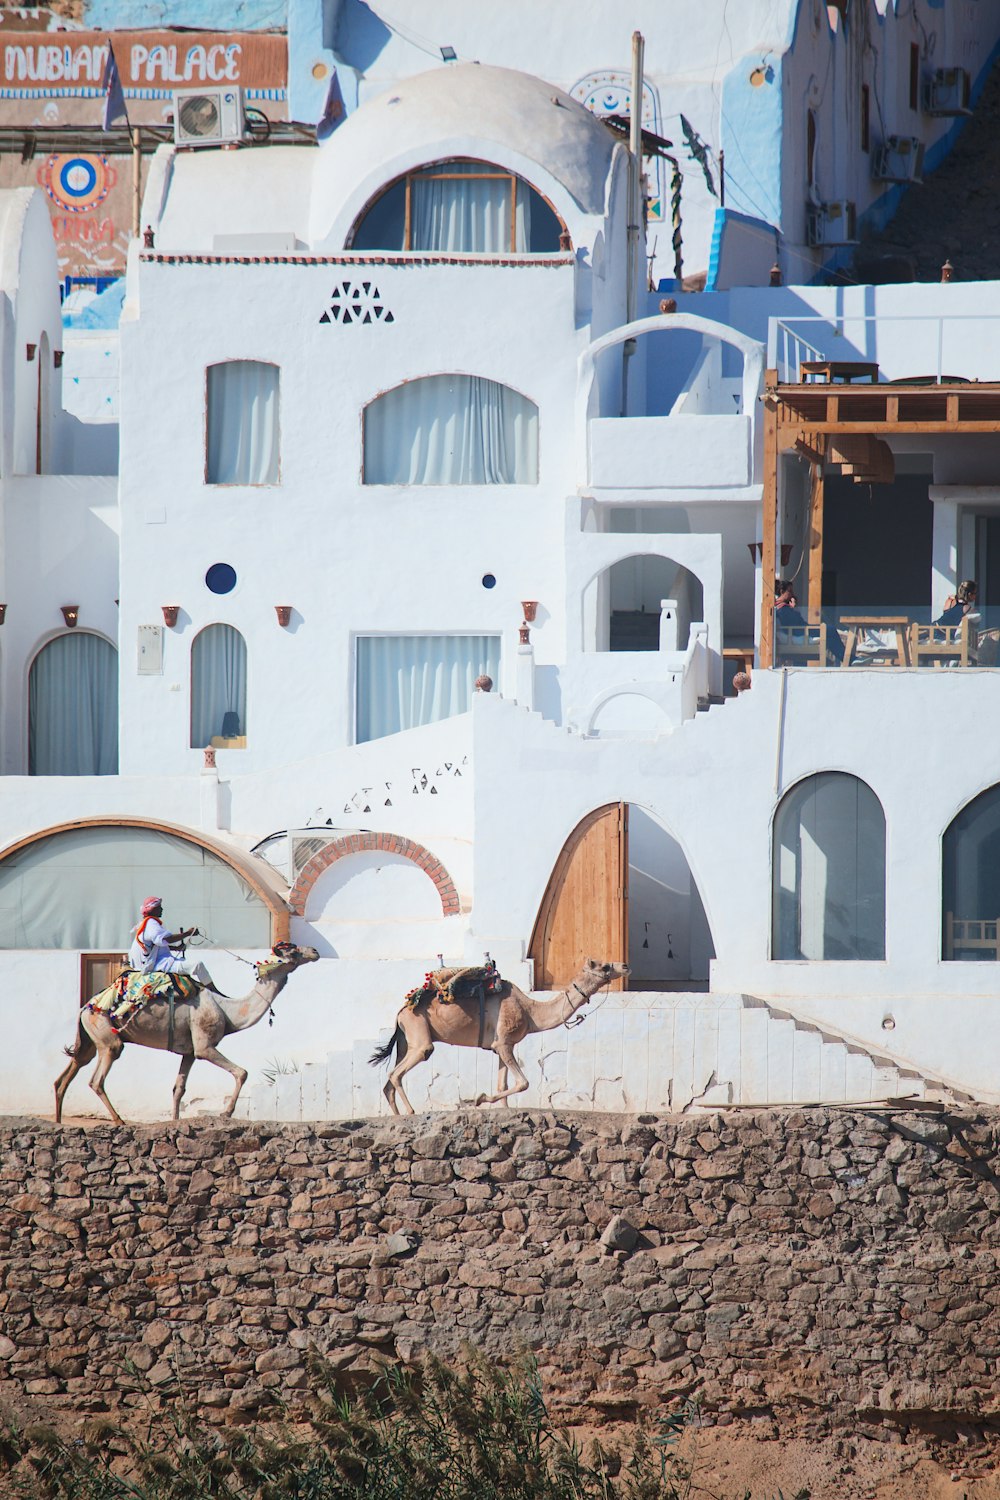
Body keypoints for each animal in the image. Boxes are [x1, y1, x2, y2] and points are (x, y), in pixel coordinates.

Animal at [55, 936, 320, 1128]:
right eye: (291, 949)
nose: (315, 951)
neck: (227, 1011)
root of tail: (85, 1008)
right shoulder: (204, 1046)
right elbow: (242, 1072)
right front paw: (226, 1113)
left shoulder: (189, 1052)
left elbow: (178, 1089)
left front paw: (174, 1122)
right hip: (108, 1039)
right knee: (97, 1079)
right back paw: (119, 1120)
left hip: (89, 1041)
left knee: (67, 1075)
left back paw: (58, 1122)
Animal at [371, 954, 629, 1110]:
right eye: (605, 966)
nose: (624, 965)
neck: (530, 1011)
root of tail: (401, 1011)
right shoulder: (503, 1043)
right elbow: (523, 1083)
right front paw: (477, 1099)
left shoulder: (503, 1046)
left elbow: (502, 1085)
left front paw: (495, 1106)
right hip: (419, 1034)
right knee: (398, 1072)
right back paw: (411, 1112)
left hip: (406, 1040)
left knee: (389, 1081)